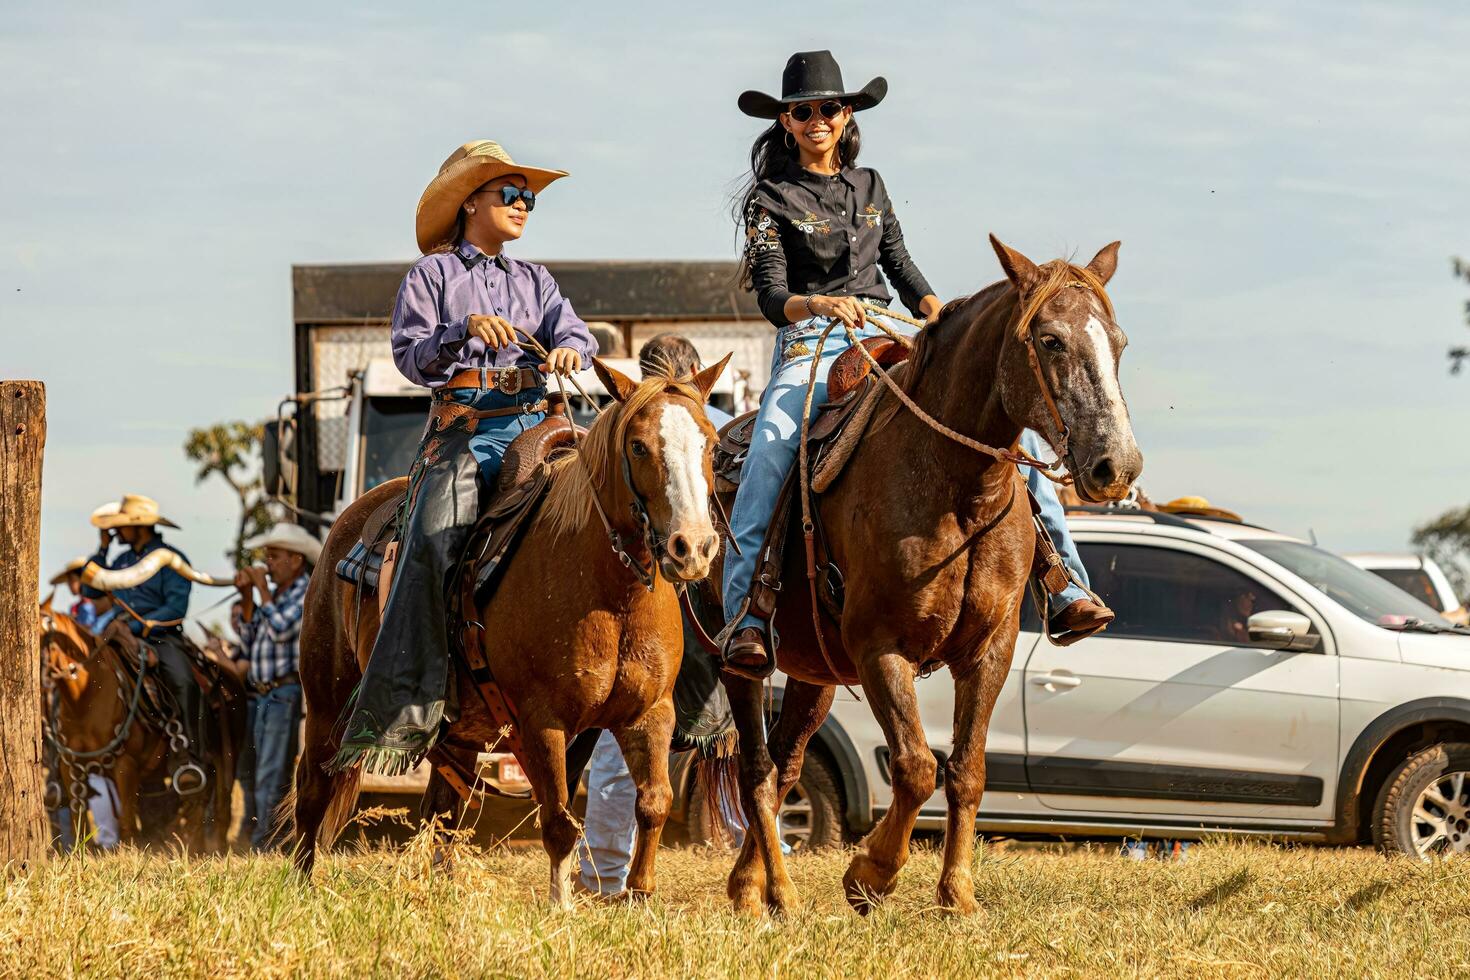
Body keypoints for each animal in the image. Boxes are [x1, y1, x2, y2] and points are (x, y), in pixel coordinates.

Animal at [37, 599, 239, 852]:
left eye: (43, 638)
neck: (86, 699)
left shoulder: (126, 765)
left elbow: (127, 824)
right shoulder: (71, 767)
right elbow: (79, 824)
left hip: (225, 757)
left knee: (221, 809)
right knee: (197, 804)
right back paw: (193, 847)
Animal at [723, 233, 1146, 916]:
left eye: (1119, 341)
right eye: (1051, 340)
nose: (1118, 465)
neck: (957, 486)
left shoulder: (990, 649)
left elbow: (967, 769)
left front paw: (958, 896)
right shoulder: (879, 648)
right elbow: (917, 766)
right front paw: (870, 874)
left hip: (813, 672)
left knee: (786, 763)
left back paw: (751, 884)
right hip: (738, 661)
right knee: (757, 766)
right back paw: (778, 893)